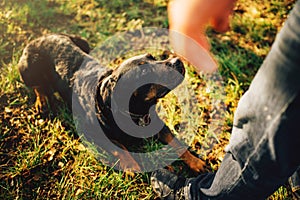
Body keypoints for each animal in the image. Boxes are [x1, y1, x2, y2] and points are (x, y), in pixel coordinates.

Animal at [17, 33, 206, 173]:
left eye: (153, 57)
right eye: (144, 72)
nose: (178, 61)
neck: (135, 112)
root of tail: (40, 37)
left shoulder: (157, 123)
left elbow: (177, 143)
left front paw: (196, 162)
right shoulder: (92, 133)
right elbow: (118, 147)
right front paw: (131, 166)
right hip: (27, 69)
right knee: (38, 86)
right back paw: (42, 101)